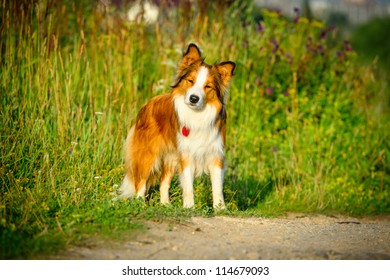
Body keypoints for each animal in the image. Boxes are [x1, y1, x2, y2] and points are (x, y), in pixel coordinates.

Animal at [119, 43, 235, 208]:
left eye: (208, 87)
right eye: (190, 81)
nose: (194, 98)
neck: (197, 115)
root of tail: (147, 104)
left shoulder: (215, 153)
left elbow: (217, 187)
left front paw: (220, 209)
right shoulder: (186, 154)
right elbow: (188, 186)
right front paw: (189, 207)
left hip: (171, 157)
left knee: (163, 182)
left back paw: (165, 205)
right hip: (148, 154)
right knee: (140, 181)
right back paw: (140, 203)